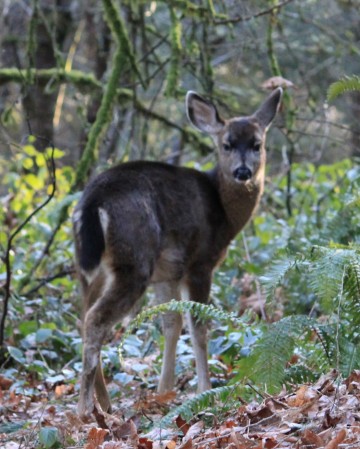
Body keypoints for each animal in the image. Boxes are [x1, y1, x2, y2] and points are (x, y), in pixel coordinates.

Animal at [72, 87, 282, 420]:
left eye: (257, 144)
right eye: (226, 144)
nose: (243, 171)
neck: (224, 213)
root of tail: (92, 202)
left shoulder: (167, 273)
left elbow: (171, 324)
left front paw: (164, 391)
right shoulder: (200, 263)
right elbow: (198, 327)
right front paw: (205, 389)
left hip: (89, 266)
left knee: (83, 317)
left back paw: (104, 404)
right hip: (135, 260)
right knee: (94, 320)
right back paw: (85, 408)